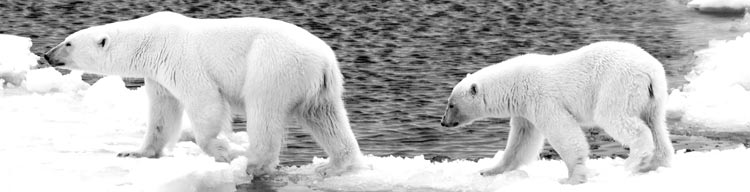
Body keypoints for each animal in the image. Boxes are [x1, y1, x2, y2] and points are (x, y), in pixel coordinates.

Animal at [44, 11, 368, 177]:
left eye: (68, 42)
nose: (47, 54)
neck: (150, 39)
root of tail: (325, 59)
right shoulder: (158, 75)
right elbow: (162, 113)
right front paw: (135, 151)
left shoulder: (180, 59)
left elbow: (205, 101)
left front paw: (222, 149)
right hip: (320, 87)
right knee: (327, 118)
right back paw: (333, 164)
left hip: (273, 67)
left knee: (264, 111)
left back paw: (249, 160)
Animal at [444, 41, 680, 184]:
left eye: (451, 104)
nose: (442, 122)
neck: (514, 82)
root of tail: (650, 71)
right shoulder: (524, 111)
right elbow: (521, 142)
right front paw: (489, 170)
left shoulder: (541, 98)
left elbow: (563, 132)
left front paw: (572, 177)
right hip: (653, 97)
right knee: (657, 125)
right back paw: (655, 163)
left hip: (618, 85)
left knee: (617, 119)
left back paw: (633, 162)